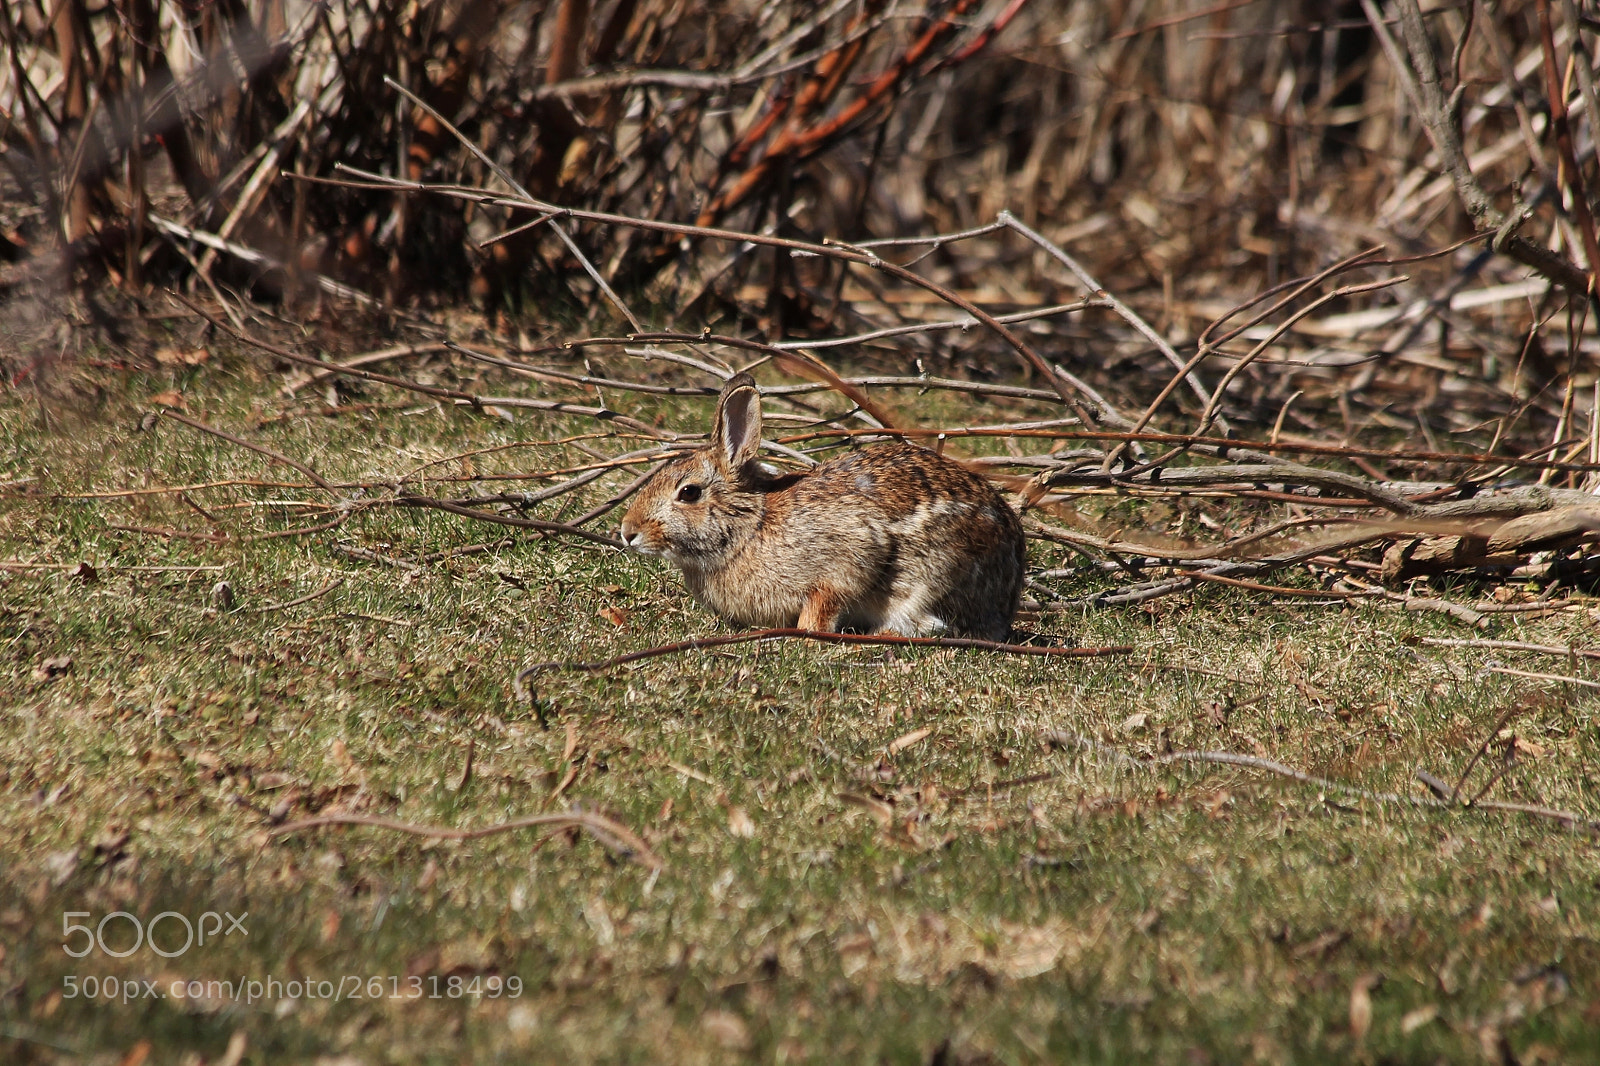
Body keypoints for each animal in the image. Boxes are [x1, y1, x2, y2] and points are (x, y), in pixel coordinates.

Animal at [619, 372, 1025, 640]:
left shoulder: (849, 551)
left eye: (688, 493)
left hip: (938, 574)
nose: (627, 533)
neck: (748, 529)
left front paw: (809, 631)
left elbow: (827, 596)